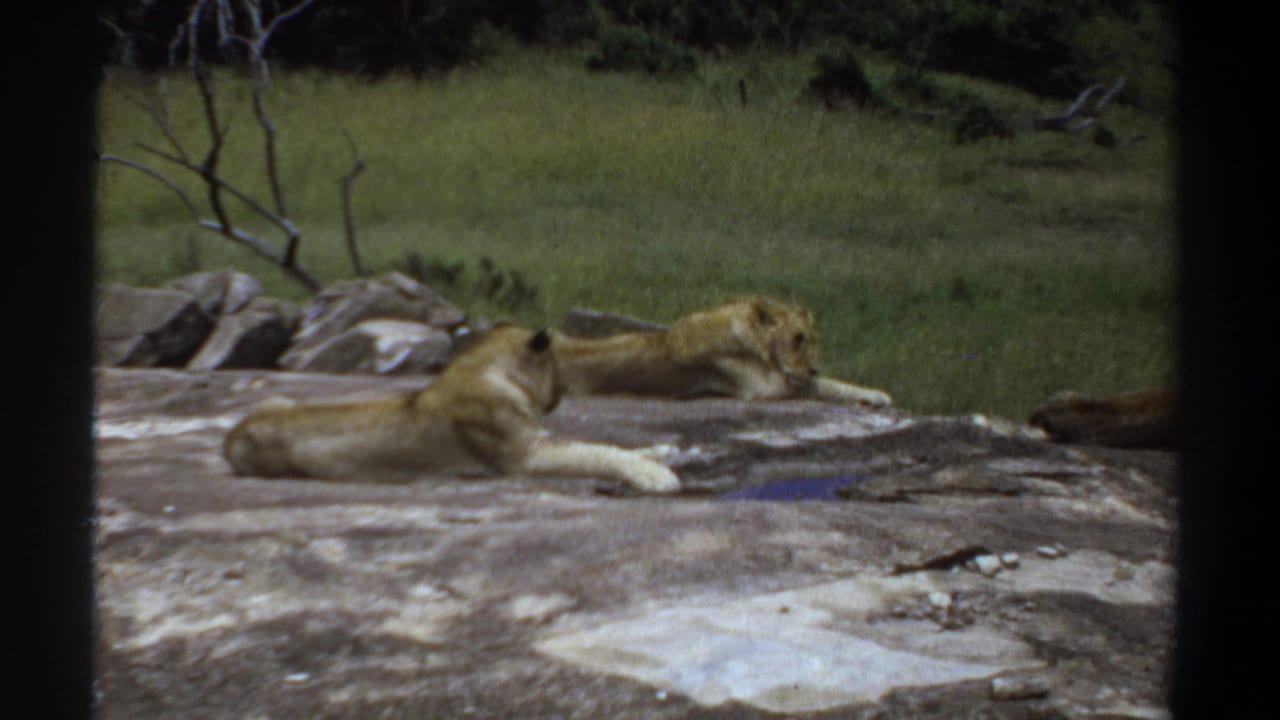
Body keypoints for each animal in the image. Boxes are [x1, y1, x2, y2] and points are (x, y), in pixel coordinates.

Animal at [223, 324, 681, 494]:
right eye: (557, 360)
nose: (563, 394)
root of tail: (229, 436)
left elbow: (605, 443)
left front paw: (661, 452)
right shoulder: (526, 456)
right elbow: (596, 450)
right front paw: (656, 476)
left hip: (279, 398)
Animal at [554, 295, 892, 406]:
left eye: (812, 339)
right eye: (797, 339)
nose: (813, 367)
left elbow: (830, 383)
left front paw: (875, 394)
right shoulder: (761, 389)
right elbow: (824, 385)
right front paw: (878, 396)